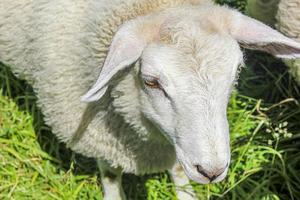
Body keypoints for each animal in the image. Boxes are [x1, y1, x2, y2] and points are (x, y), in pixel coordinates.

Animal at [0, 0, 300, 200]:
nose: (211, 171)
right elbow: (110, 174)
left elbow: (178, 168)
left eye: (237, 71)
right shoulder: (100, 133)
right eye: (151, 82)